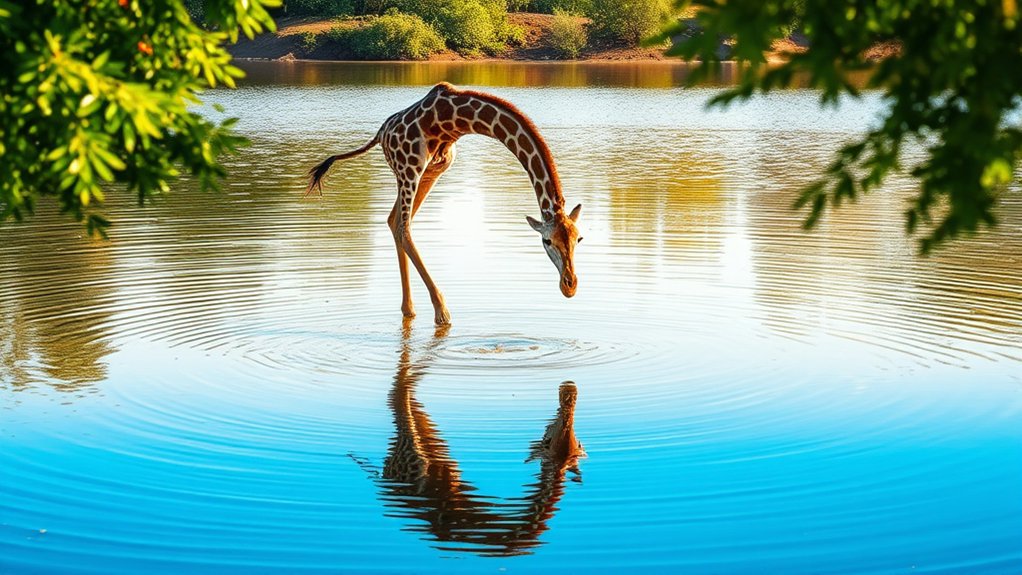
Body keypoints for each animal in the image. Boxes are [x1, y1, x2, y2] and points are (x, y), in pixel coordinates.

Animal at [307, 82, 583, 326]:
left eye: (579, 239)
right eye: (546, 241)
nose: (569, 287)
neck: (454, 118)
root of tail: (381, 133)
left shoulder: (436, 167)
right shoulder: (413, 168)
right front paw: (442, 313)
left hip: (425, 175)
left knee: (394, 220)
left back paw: (409, 309)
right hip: (407, 171)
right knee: (403, 228)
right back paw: (441, 311)